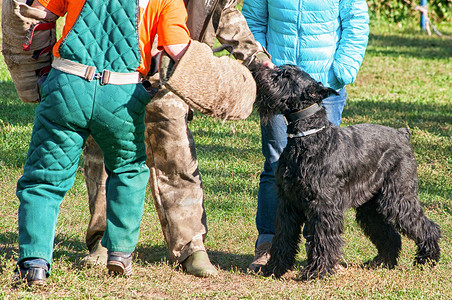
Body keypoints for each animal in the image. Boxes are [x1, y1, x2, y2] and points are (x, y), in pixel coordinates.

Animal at [254, 64, 442, 280]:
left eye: (287, 75)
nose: (258, 70)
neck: (307, 137)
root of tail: (402, 135)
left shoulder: (323, 205)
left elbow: (322, 238)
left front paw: (317, 271)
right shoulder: (288, 203)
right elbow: (283, 237)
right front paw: (274, 268)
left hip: (398, 198)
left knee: (427, 226)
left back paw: (427, 259)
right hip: (371, 207)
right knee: (390, 234)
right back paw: (382, 262)